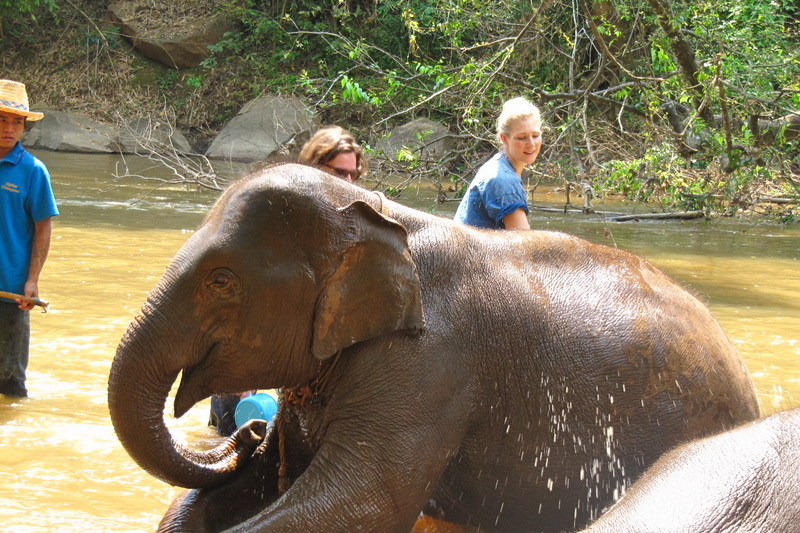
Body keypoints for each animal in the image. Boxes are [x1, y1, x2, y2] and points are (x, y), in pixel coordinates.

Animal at [107, 163, 759, 532]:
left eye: (222, 280)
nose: (248, 430)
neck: (383, 214)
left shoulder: (429, 369)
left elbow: (363, 502)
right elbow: (254, 489)